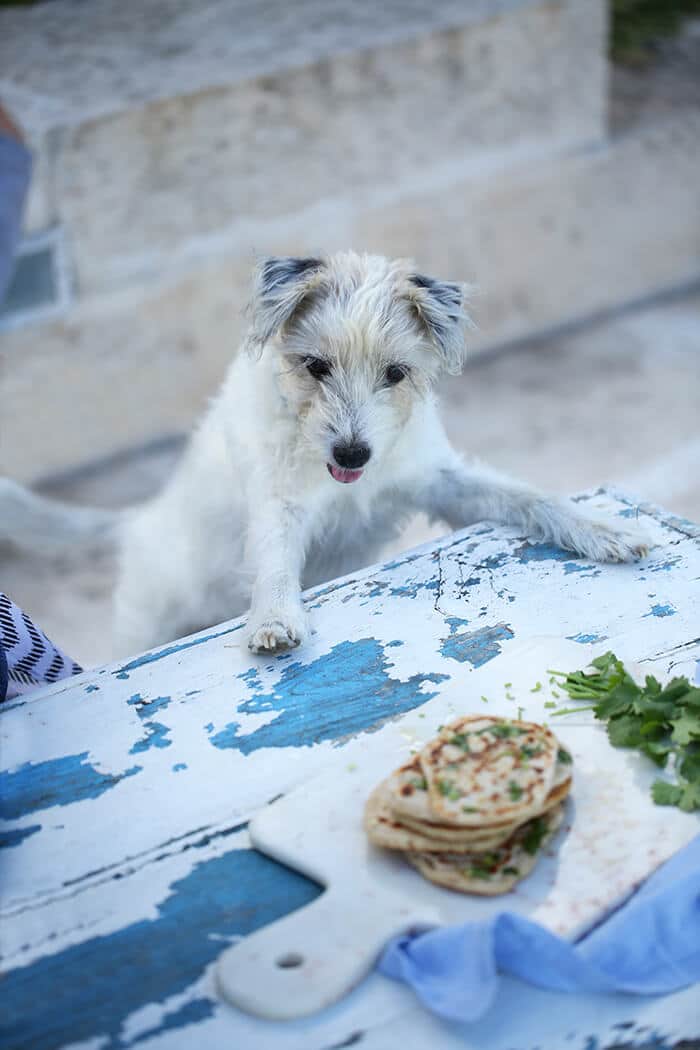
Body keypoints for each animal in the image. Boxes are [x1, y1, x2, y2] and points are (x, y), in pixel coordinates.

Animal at [0, 248, 650, 651]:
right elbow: (276, 565)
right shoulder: (278, 509)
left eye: (396, 373)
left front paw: (605, 530)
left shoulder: (437, 480)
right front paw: (274, 619)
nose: (353, 455)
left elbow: (527, 497)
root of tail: (138, 521)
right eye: (315, 366)